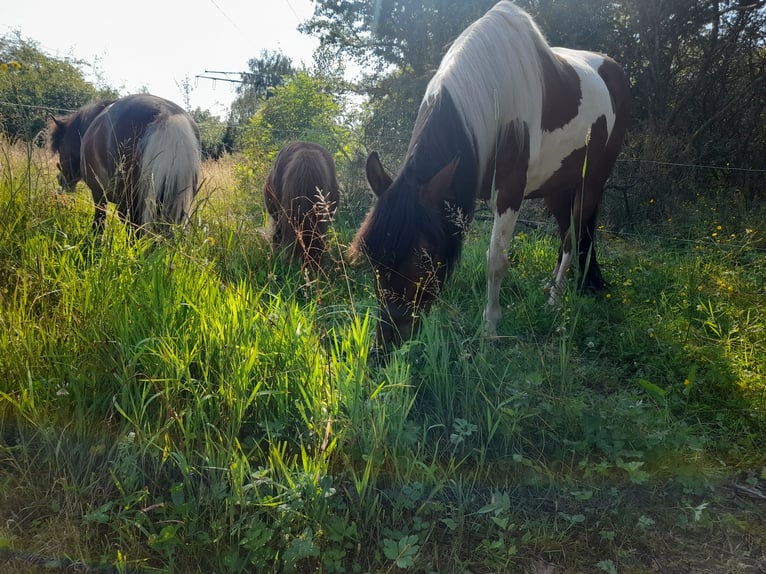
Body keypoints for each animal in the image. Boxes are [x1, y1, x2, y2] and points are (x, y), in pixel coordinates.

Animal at [352, 2, 632, 348]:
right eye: (371, 258)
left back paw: (555, 298)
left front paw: (490, 327)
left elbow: (495, 260)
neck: (493, 96)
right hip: (556, 187)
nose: (386, 343)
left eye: (423, 259)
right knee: (567, 228)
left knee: (573, 236)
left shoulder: (510, 192)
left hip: (591, 182)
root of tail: (613, 69)